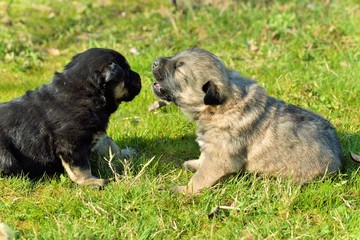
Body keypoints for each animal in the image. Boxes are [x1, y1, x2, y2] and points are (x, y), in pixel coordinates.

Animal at [0, 47, 141, 187]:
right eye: (128, 73)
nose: (139, 77)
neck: (87, 93)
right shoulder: (71, 142)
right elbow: (81, 167)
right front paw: (91, 181)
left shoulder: (95, 130)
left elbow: (109, 144)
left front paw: (125, 153)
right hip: (7, 157)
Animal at [150, 47, 342, 194]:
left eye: (178, 68)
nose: (154, 61)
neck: (218, 108)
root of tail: (339, 161)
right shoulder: (211, 147)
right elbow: (203, 158)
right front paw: (193, 164)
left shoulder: (219, 157)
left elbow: (201, 177)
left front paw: (184, 190)